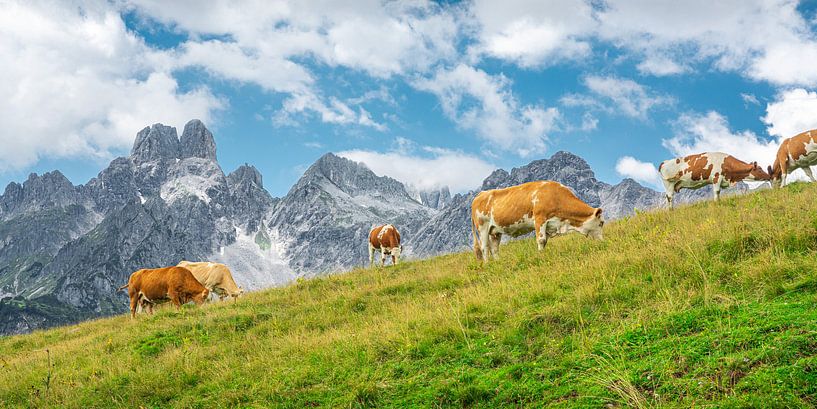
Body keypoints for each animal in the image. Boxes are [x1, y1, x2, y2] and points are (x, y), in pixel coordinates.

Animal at [468, 180, 604, 260]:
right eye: (602, 223)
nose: (603, 241)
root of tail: (480, 194)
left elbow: (545, 241)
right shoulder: (539, 218)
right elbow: (541, 240)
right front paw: (541, 257)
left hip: (495, 231)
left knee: (494, 248)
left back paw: (498, 263)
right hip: (482, 227)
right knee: (484, 247)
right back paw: (488, 265)